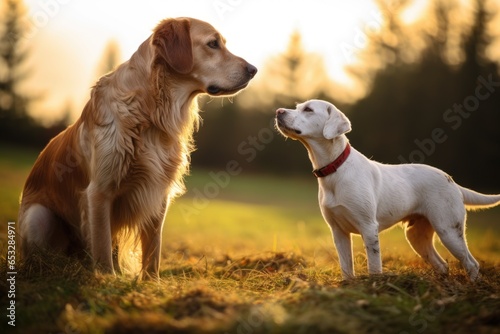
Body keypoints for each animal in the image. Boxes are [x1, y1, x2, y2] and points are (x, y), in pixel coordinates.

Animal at [278, 98, 500, 280]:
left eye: (308, 109)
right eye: (297, 106)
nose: (279, 111)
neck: (335, 168)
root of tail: (452, 181)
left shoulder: (368, 228)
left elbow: (374, 267)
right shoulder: (338, 231)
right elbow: (346, 268)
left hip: (449, 230)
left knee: (471, 263)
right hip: (417, 235)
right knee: (442, 265)